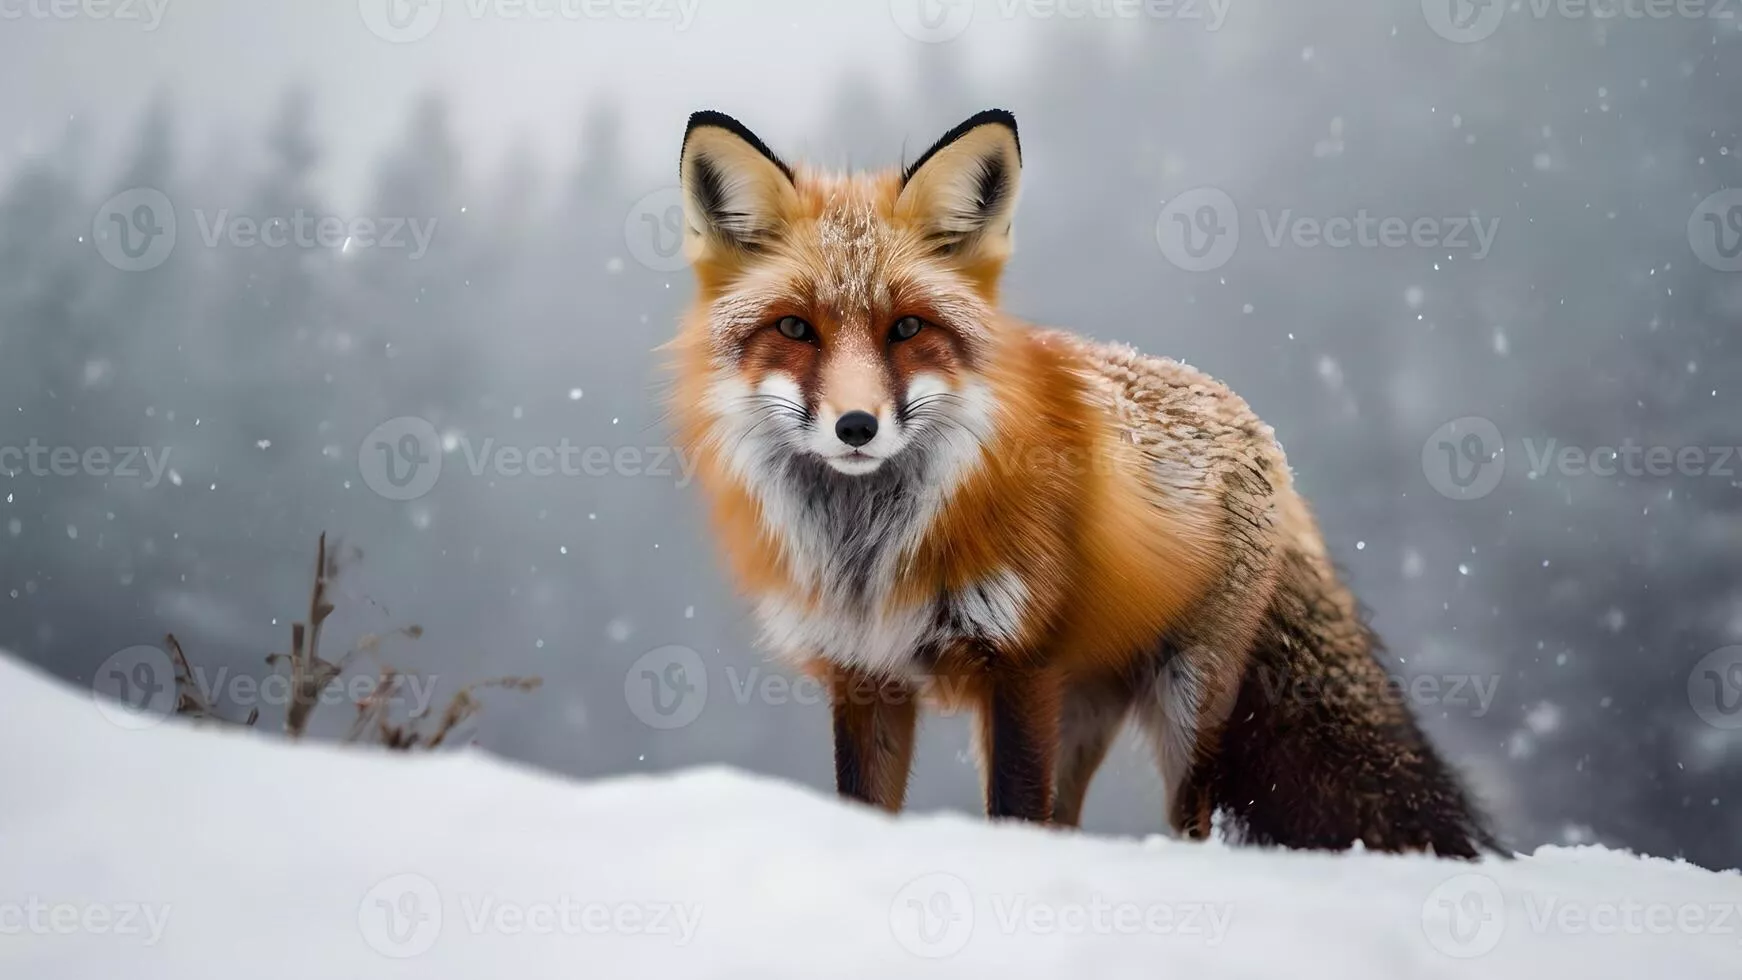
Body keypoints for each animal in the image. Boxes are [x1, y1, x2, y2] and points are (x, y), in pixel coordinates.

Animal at [667, 108, 1502, 858]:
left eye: (906, 328)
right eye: (794, 329)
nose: (856, 427)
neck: (870, 551)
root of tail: (1249, 417)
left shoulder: (1019, 664)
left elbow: (1013, 816)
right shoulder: (867, 675)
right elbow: (872, 807)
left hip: (1186, 701)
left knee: (1190, 824)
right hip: (1084, 710)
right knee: (1067, 821)